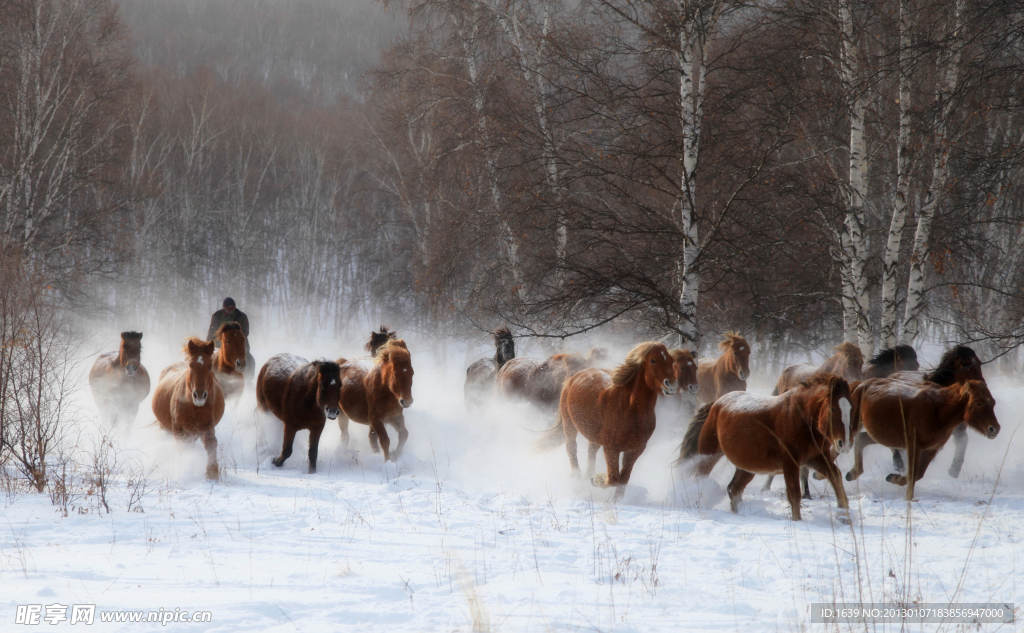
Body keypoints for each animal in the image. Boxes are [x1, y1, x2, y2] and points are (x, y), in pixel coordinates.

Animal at [150, 335, 225, 477]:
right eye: (191, 365)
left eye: (210, 365)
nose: (199, 396)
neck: (195, 408)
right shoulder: (178, 429)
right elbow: (182, 448)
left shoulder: (207, 426)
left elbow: (211, 444)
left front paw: (212, 473)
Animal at [557, 342, 675, 495]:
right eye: (653, 360)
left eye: (671, 360)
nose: (670, 385)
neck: (630, 410)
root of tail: (573, 378)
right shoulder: (611, 449)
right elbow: (613, 479)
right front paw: (598, 480)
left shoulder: (635, 450)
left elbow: (623, 481)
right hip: (569, 424)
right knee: (571, 448)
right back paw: (577, 478)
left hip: (594, 436)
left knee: (591, 451)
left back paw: (588, 476)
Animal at [679, 372, 856, 520]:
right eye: (833, 409)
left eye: (851, 408)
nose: (844, 443)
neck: (800, 418)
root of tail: (716, 404)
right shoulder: (790, 463)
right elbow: (794, 495)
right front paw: (797, 521)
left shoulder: (817, 458)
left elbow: (836, 476)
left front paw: (844, 516)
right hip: (708, 457)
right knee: (702, 479)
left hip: (747, 467)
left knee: (733, 489)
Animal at [847, 374, 999, 497]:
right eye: (978, 402)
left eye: (992, 402)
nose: (994, 429)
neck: (938, 410)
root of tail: (861, 384)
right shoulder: (913, 446)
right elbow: (912, 473)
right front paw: (908, 497)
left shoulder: (931, 449)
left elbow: (917, 474)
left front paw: (893, 478)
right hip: (853, 428)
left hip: (880, 436)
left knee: (861, 439)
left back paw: (852, 474)